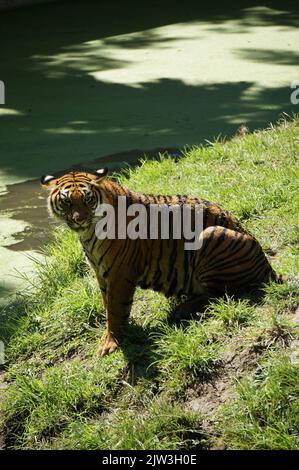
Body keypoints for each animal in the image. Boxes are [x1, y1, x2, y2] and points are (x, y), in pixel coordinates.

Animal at [41, 169, 284, 356]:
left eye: (88, 199)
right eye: (67, 201)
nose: (79, 219)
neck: (89, 233)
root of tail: (267, 265)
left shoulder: (119, 272)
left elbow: (115, 309)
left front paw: (110, 343)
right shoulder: (100, 272)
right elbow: (106, 303)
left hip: (210, 236)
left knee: (221, 293)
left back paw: (182, 309)